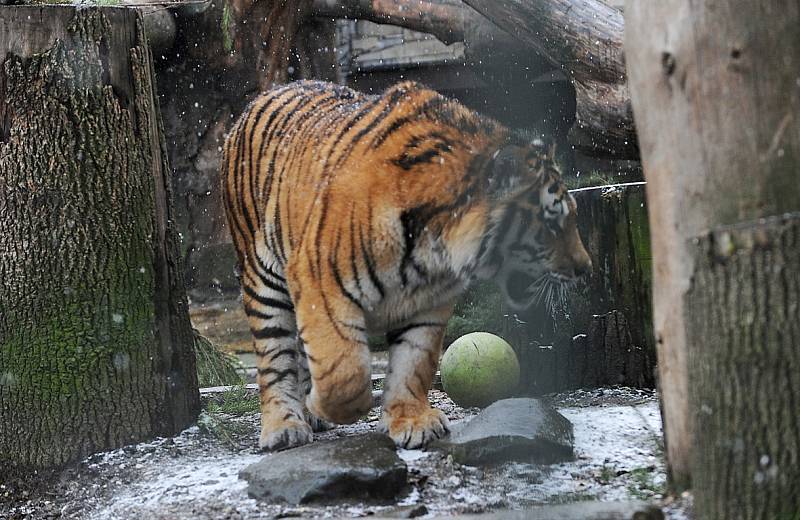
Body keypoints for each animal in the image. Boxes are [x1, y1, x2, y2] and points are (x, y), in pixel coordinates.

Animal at [222, 80, 592, 450]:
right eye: (553, 224)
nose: (585, 268)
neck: (434, 245)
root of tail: (266, 93)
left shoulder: (428, 303)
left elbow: (413, 363)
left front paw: (412, 421)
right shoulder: (321, 286)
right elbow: (345, 372)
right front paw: (326, 405)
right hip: (264, 278)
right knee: (276, 360)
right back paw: (285, 425)